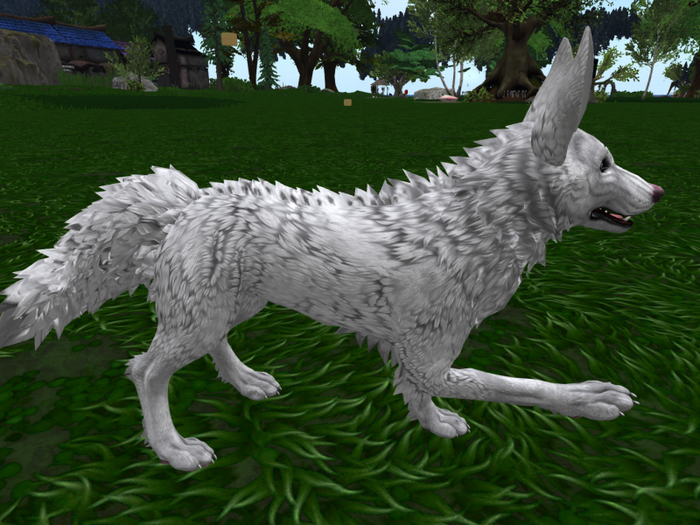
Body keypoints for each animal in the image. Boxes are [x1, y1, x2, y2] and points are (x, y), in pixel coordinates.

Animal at [0, 27, 663, 471]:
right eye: (607, 164)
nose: (659, 191)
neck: (476, 224)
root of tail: (182, 204)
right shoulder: (430, 352)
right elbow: (511, 384)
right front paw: (594, 399)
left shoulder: (417, 356)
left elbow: (421, 393)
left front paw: (434, 425)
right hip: (203, 312)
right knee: (145, 371)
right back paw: (174, 449)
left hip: (226, 305)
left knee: (207, 345)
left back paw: (247, 384)